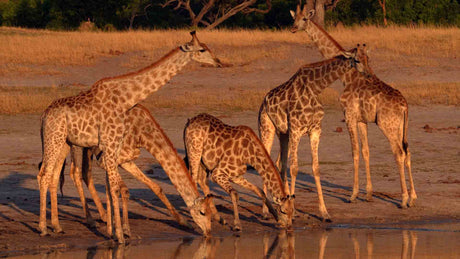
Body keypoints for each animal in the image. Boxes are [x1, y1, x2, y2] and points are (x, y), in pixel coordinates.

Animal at [37, 32, 221, 244]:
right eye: (202, 49)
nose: (218, 62)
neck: (125, 99)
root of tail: (44, 115)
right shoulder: (111, 148)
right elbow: (116, 189)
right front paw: (119, 235)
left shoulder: (112, 149)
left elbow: (118, 188)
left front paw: (116, 231)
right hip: (58, 141)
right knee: (48, 175)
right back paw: (45, 228)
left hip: (63, 143)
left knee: (54, 175)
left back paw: (57, 226)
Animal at [258, 49, 370, 223]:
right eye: (357, 60)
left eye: (368, 58)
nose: (369, 75)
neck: (315, 88)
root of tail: (263, 103)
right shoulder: (296, 129)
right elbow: (295, 168)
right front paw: (293, 212)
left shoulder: (315, 130)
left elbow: (316, 168)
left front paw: (324, 213)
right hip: (267, 128)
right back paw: (265, 211)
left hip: (283, 134)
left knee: (280, 164)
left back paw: (282, 204)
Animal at [292, 4, 416, 209]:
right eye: (294, 18)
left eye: (304, 19)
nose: (293, 28)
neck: (347, 77)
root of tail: (405, 105)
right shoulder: (362, 120)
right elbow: (365, 151)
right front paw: (369, 194)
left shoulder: (349, 115)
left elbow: (355, 152)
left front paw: (353, 195)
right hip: (401, 127)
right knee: (407, 151)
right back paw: (413, 197)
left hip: (388, 125)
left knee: (398, 152)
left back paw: (404, 199)